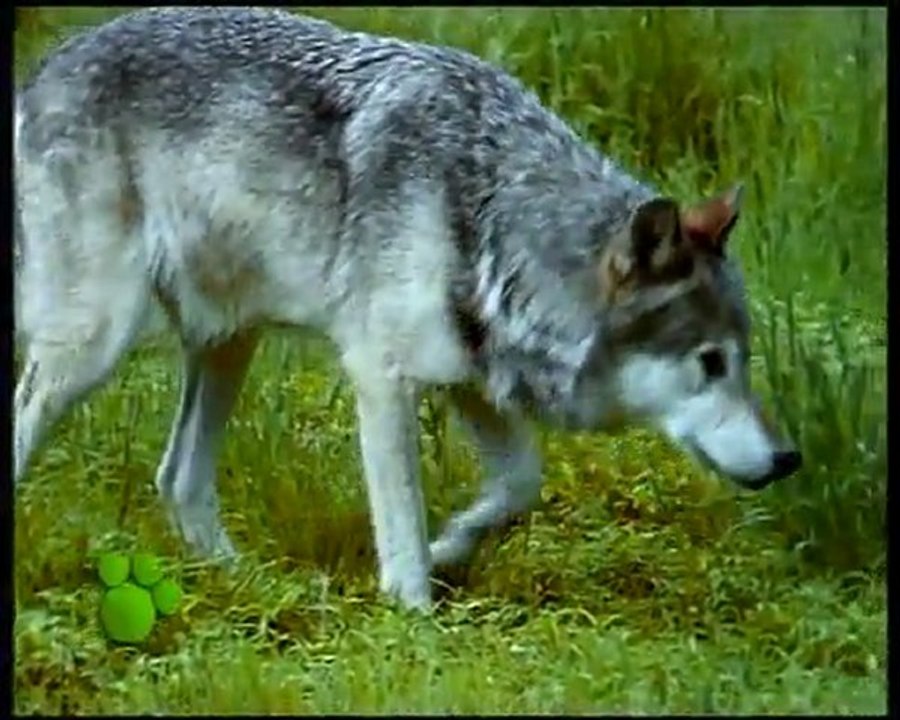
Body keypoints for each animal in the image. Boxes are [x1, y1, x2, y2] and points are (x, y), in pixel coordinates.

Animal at [14, 7, 802, 610]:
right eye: (710, 362)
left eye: (744, 360)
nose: (789, 458)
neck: (485, 208)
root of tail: (42, 68)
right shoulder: (382, 377)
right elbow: (401, 531)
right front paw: (415, 619)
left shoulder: (469, 378)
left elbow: (521, 484)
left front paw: (452, 545)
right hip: (92, 344)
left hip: (231, 341)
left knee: (177, 481)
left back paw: (259, 592)